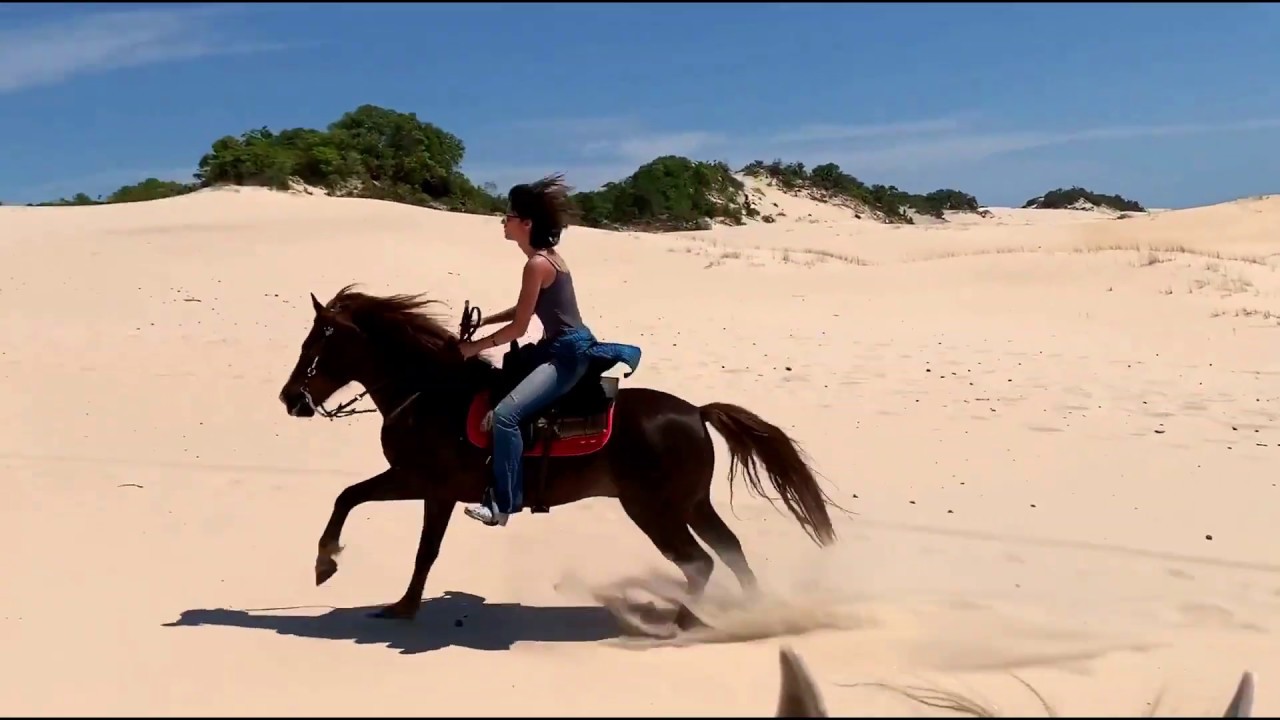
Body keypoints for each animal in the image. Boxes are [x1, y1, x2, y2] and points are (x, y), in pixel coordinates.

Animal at [276, 285, 842, 630]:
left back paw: (684, 622)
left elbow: (418, 547)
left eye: (317, 345)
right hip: (691, 503)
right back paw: (750, 612)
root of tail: (696, 412)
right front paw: (335, 568)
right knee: (730, 549)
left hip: (653, 510)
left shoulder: (427, 485)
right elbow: (349, 497)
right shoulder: (413, 481)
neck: (431, 395)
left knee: (699, 561)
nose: (290, 398)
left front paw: (386, 597)